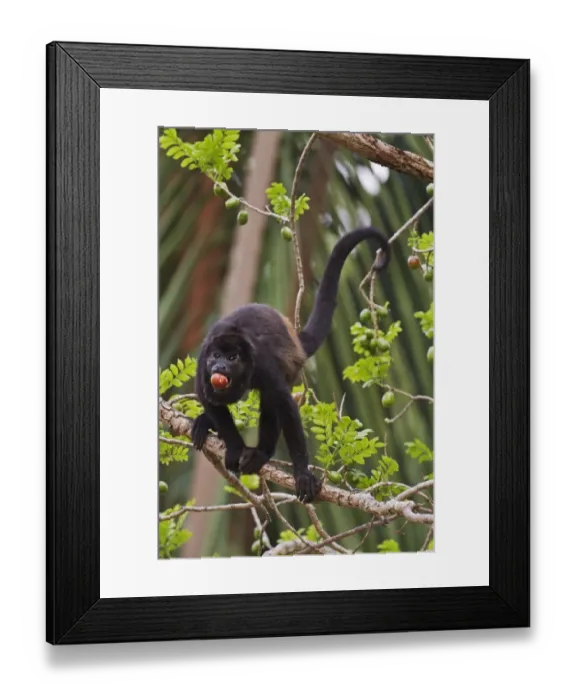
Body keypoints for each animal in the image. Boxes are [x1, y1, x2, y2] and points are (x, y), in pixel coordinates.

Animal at [190, 226, 391, 503]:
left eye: (232, 358)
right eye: (215, 356)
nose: (219, 368)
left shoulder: (262, 363)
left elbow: (285, 406)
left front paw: (302, 474)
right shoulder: (202, 364)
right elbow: (208, 397)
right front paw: (234, 446)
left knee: (270, 402)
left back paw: (260, 454)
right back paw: (206, 424)